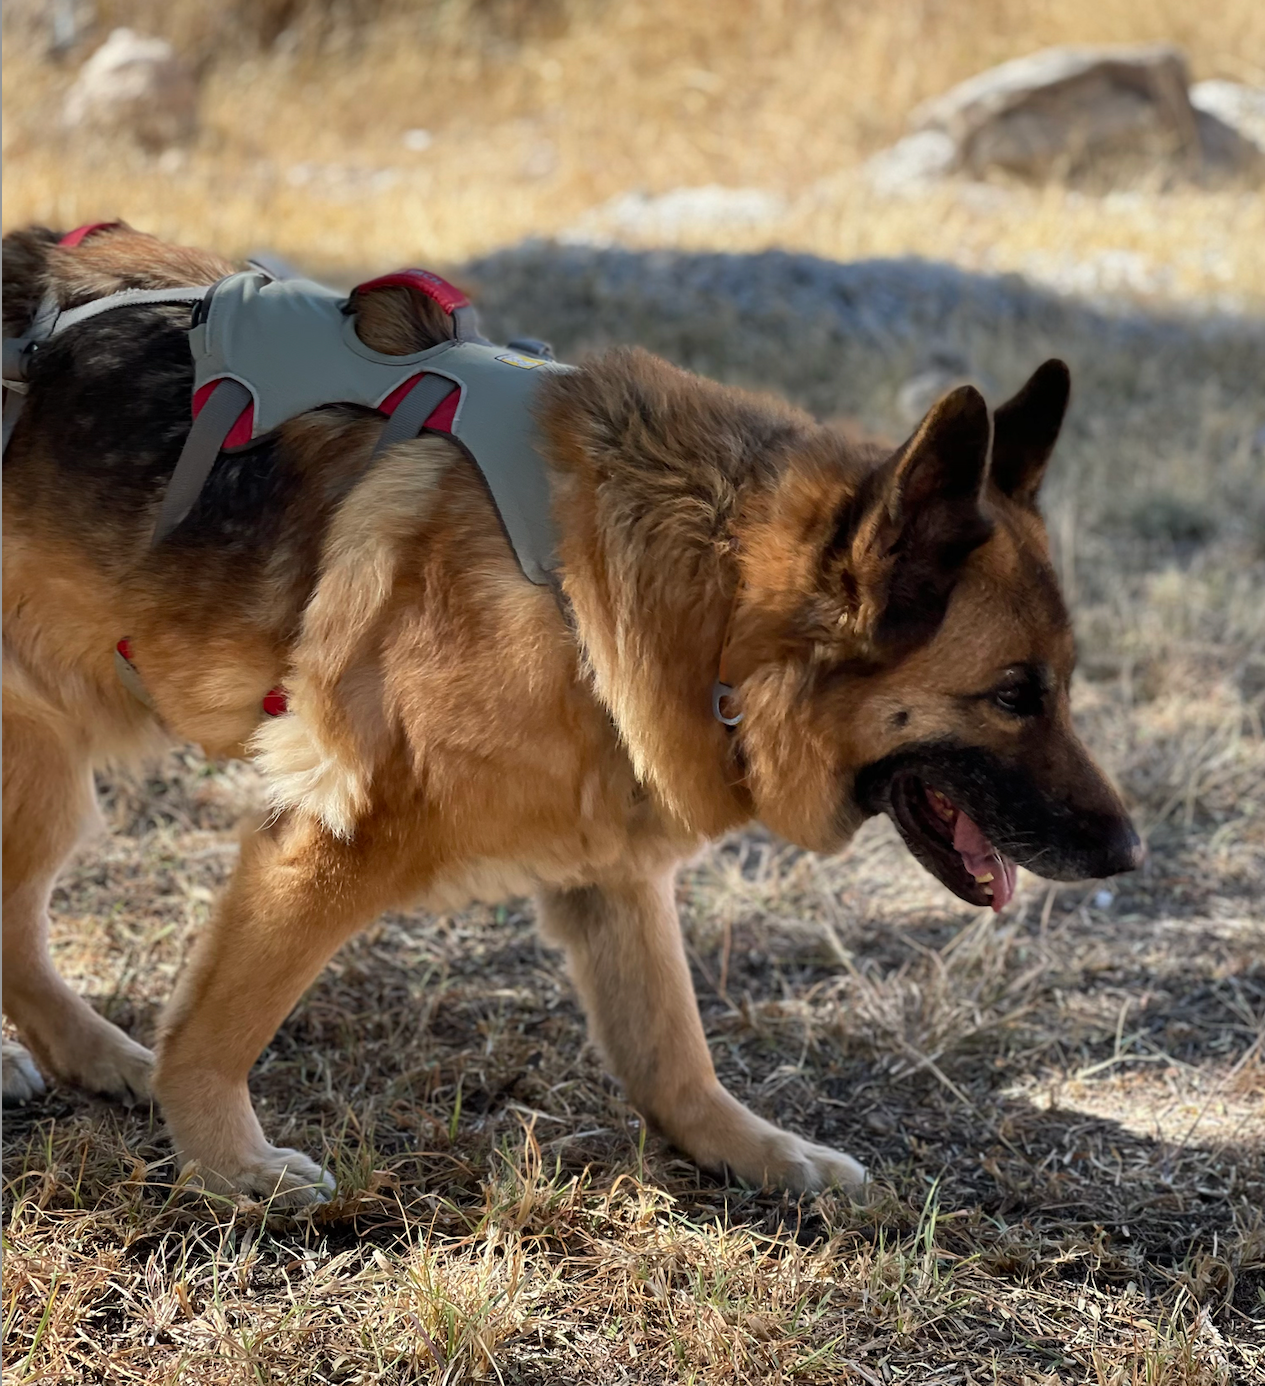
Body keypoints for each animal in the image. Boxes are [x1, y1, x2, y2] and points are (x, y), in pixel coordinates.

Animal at [2, 224, 1147, 1203]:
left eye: (1063, 685)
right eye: (1013, 695)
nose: (1130, 854)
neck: (707, 603)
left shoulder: (614, 866)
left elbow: (673, 1050)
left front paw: (753, 1152)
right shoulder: (331, 837)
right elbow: (219, 1027)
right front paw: (226, 1162)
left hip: (46, 783)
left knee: (17, 929)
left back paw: (89, 1056)